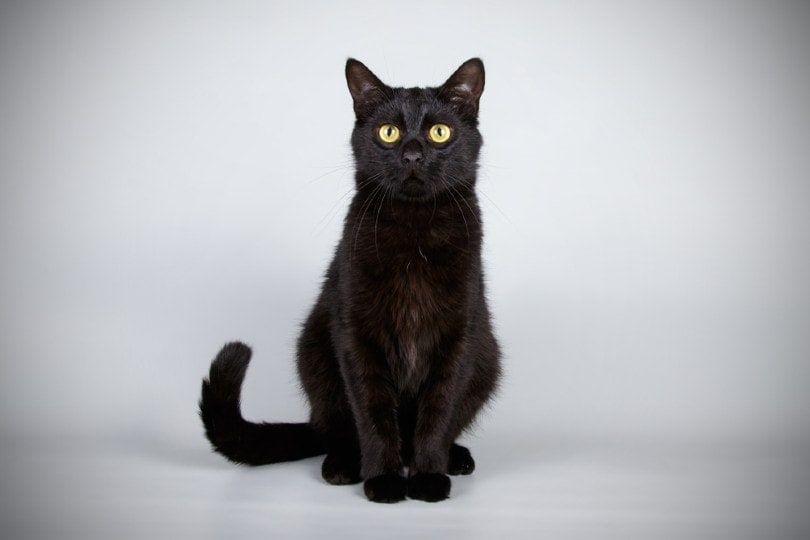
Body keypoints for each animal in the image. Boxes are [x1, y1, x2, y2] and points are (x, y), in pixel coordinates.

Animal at [199, 58, 498, 502]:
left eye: (439, 132)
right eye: (388, 132)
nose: (412, 154)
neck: (413, 231)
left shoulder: (460, 335)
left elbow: (439, 410)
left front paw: (428, 477)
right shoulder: (355, 333)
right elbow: (373, 413)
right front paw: (383, 480)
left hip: (487, 359)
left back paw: (454, 458)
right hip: (315, 351)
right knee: (336, 429)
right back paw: (343, 465)